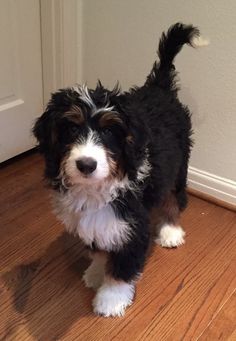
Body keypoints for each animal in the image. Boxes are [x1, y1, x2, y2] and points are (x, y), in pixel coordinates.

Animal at [33, 23, 208, 316]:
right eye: (71, 129)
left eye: (108, 131)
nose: (86, 164)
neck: (97, 189)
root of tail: (159, 87)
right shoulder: (96, 221)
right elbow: (99, 249)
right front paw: (95, 273)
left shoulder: (133, 226)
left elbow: (121, 268)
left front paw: (110, 300)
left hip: (180, 164)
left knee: (174, 197)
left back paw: (170, 231)